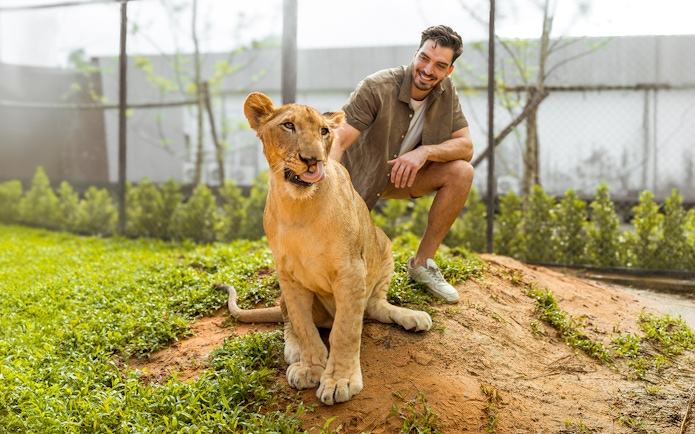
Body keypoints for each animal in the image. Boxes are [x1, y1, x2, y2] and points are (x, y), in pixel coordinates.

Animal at [218, 92, 432, 406]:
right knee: (286, 316)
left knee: (373, 306)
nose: (313, 160)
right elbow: (303, 326)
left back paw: (413, 317)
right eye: (288, 126)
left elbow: (345, 331)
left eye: (324, 131)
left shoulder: (351, 271)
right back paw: (294, 350)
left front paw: (339, 380)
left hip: (382, 243)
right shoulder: (288, 276)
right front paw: (309, 367)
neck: (298, 207)